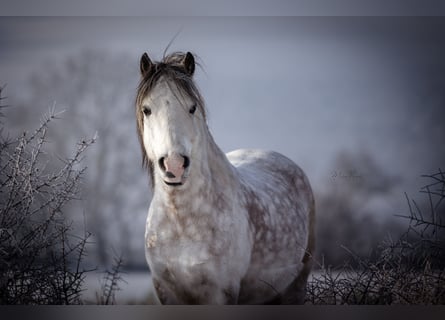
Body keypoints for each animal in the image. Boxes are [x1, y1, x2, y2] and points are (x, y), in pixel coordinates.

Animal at [134, 51, 314, 304]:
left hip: (296, 286)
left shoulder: (221, 293)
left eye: (192, 107)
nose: (174, 165)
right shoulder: (165, 291)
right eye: (147, 110)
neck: (181, 223)